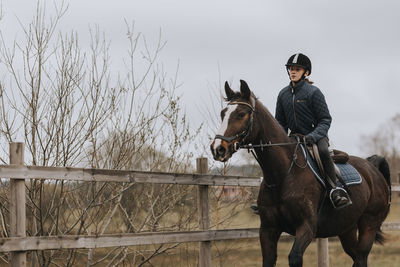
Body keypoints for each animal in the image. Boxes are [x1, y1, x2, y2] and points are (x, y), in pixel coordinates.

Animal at [211, 80, 392, 267]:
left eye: (241, 114)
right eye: (223, 114)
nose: (218, 149)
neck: (284, 174)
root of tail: (372, 169)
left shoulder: (307, 227)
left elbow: (295, 257)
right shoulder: (268, 229)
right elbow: (268, 259)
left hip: (369, 224)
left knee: (361, 256)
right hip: (347, 228)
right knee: (357, 256)